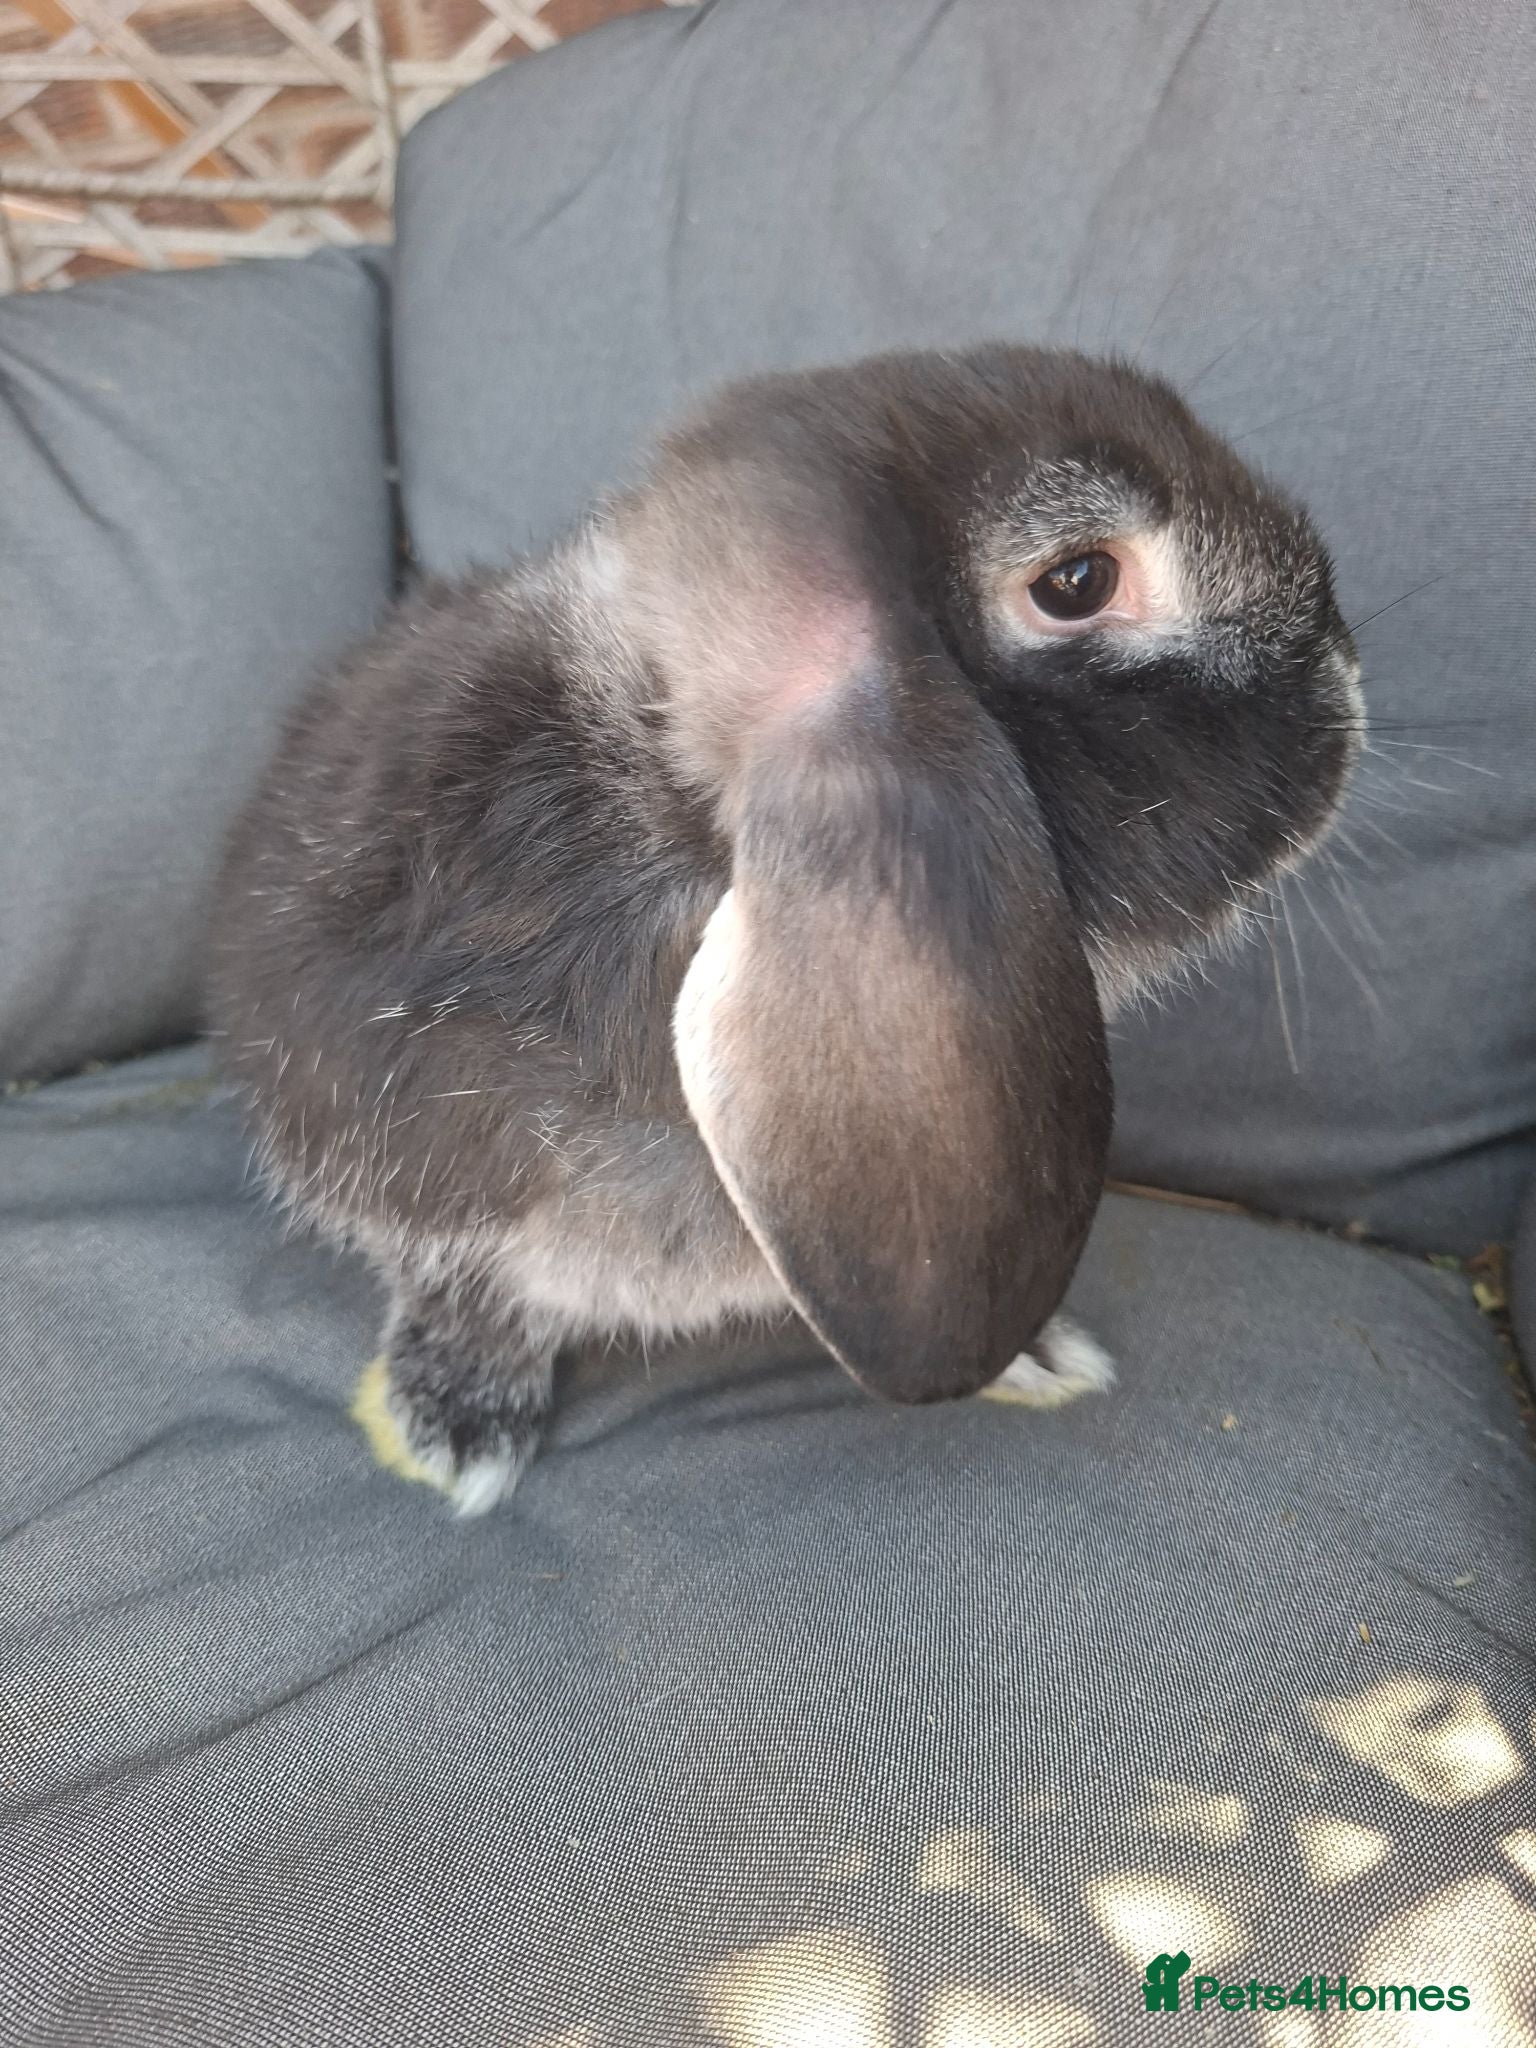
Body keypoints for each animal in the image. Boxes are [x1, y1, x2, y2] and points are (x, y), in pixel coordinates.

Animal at [208, 345, 1363, 1514]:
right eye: (1078, 582)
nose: (1347, 671)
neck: (660, 819)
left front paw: (1037, 1356)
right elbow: (462, 1279)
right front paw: (458, 1428)